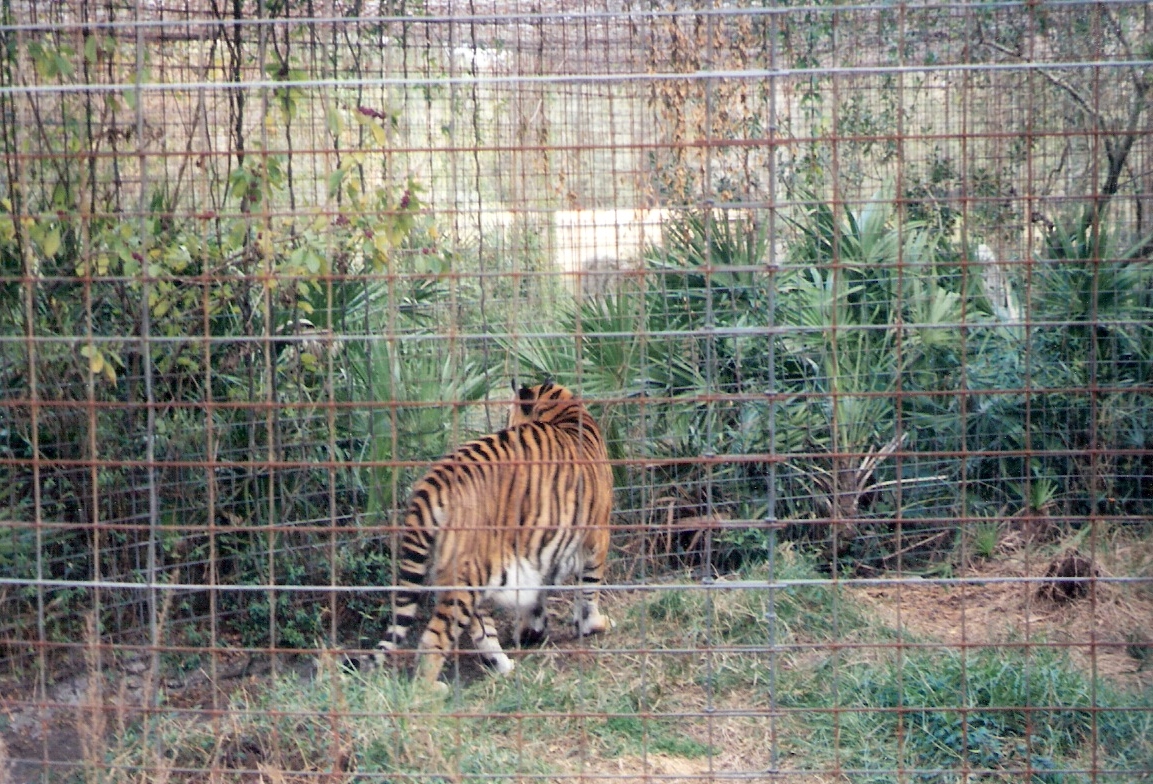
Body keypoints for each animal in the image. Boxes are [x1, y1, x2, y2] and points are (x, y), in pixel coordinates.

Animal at [369, 379, 613, 688]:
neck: (564, 410)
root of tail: (436, 480)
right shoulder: (597, 536)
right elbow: (589, 589)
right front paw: (593, 624)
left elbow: (537, 596)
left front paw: (532, 630)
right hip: (470, 574)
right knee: (437, 636)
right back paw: (430, 688)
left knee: (480, 628)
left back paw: (504, 666)